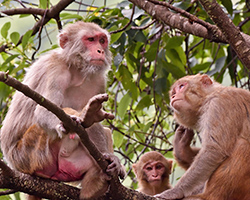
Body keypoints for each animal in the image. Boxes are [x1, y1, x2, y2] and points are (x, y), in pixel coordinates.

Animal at [0, 21, 125, 200]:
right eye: (90, 39)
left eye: (102, 41)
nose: (100, 51)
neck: (76, 70)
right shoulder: (56, 70)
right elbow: (42, 112)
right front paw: (84, 116)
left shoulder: (99, 80)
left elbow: (96, 126)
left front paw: (111, 159)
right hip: (29, 154)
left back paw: (95, 184)